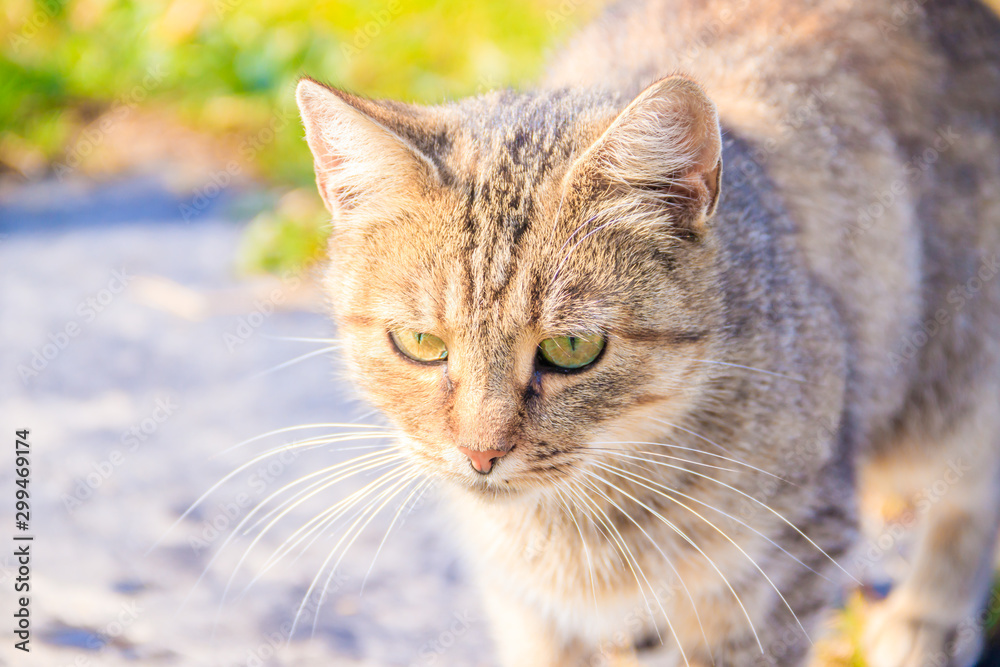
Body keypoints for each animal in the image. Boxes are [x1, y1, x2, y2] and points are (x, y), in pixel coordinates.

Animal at [292, 1, 1000, 667]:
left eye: (572, 349)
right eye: (421, 344)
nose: (480, 454)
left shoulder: (785, 562)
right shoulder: (525, 603)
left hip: (950, 386)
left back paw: (927, 619)